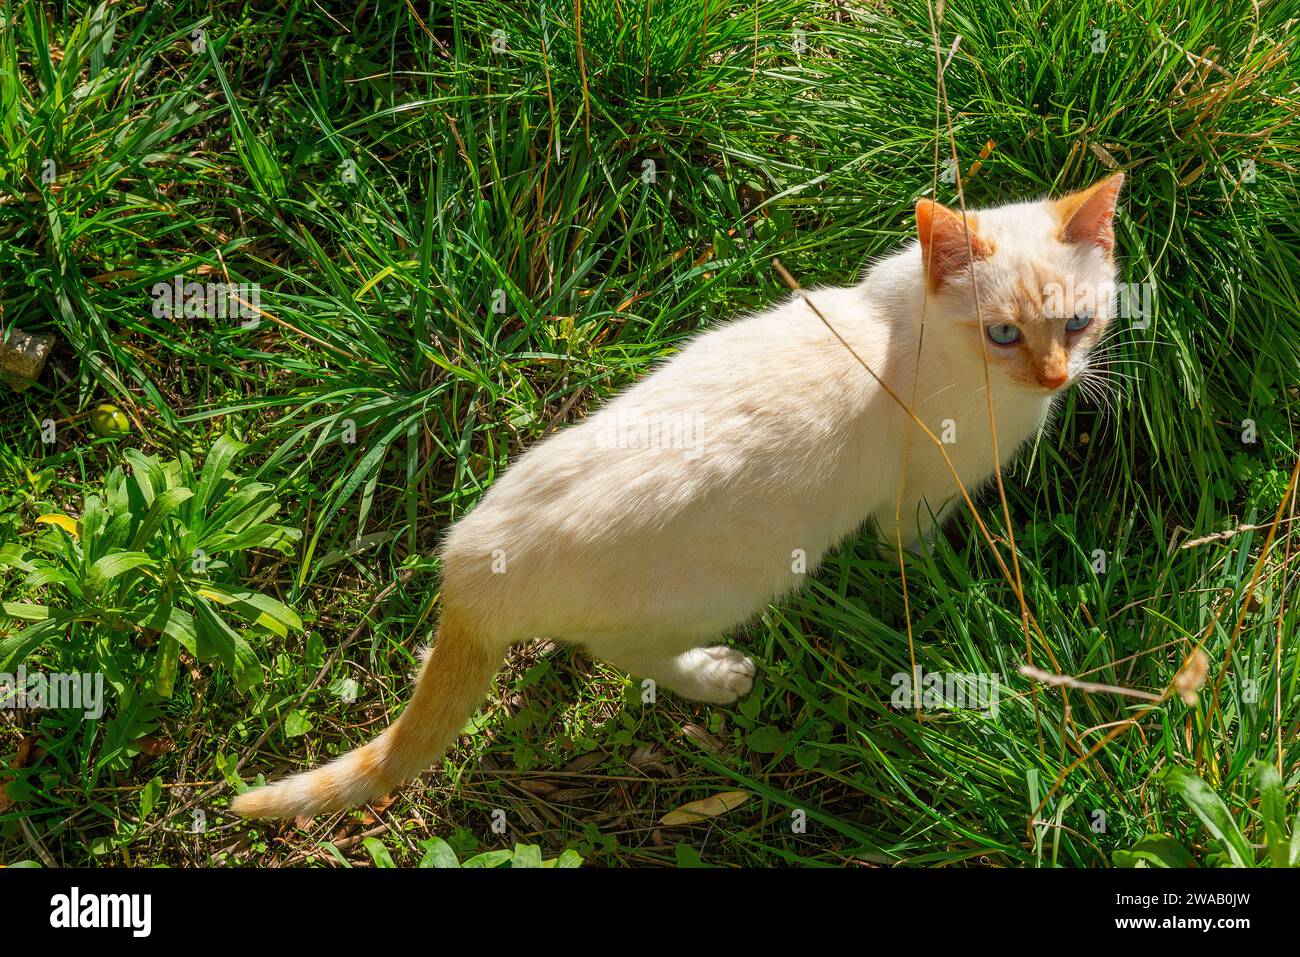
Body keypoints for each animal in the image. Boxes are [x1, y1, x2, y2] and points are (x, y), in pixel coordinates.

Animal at [236, 171, 1128, 816]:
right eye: (1004, 333)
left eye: (1078, 322)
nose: (1056, 377)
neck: (907, 328)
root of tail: (468, 562)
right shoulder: (917, 502)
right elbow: (921, 550)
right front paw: (967, 574)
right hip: (723, 591)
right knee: (625, 653)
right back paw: (717, 674)